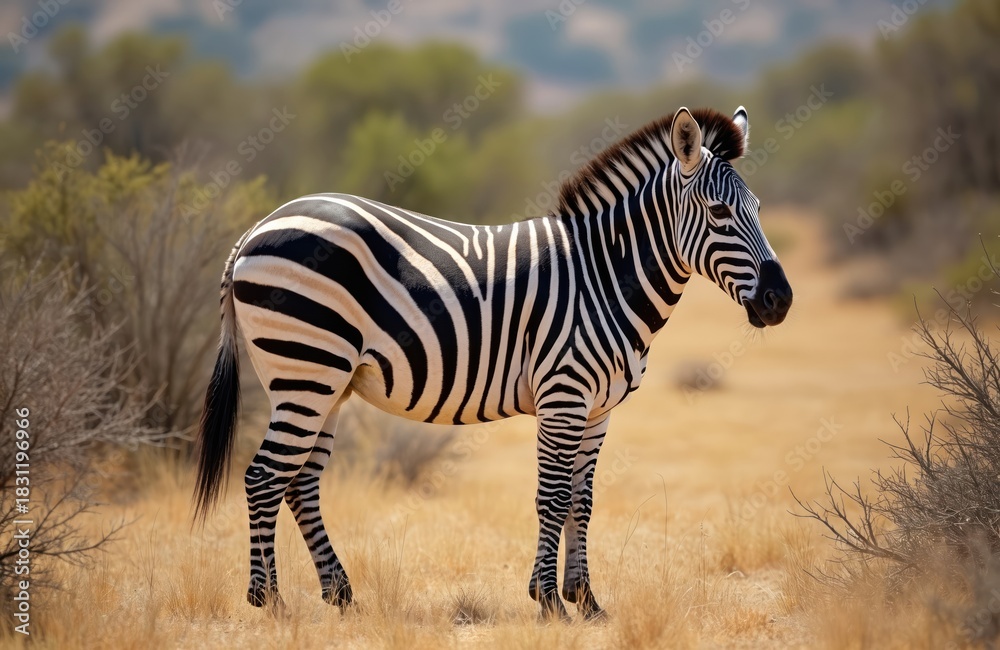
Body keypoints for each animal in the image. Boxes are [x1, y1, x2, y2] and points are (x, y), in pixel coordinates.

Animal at [193, 106, 793, 620]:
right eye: (719, 212)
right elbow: (553, 496)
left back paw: (339, 594)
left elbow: (583, 500)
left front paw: (586, 600)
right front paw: (549, 602)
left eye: (760, 211)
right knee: (264, 476)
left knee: (299, 481)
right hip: (307, 371)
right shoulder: (564, 394)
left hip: (323, 382)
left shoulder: (599, 409)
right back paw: (269, 601)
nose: (780, 300)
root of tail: (256, 228)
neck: (604, 275)